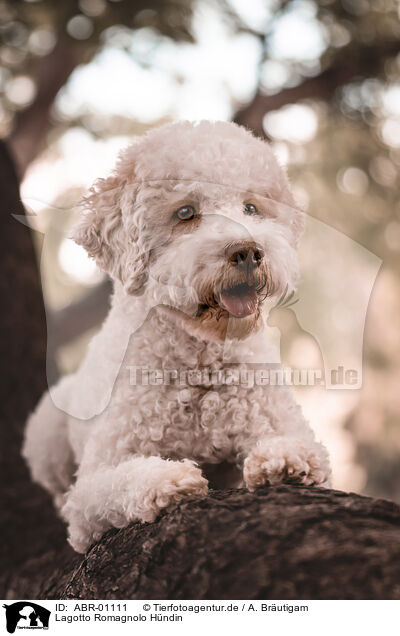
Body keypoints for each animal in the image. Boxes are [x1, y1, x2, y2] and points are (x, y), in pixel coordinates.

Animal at [24, 119, 332, 552]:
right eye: (185, 212)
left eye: (251, 207)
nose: (248, 252)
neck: (198, 359)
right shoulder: (89, 494)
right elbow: (115, 483)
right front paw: (167, 478)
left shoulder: (279, 418)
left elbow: (300, 446)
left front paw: (285, 459)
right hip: (46, 433)